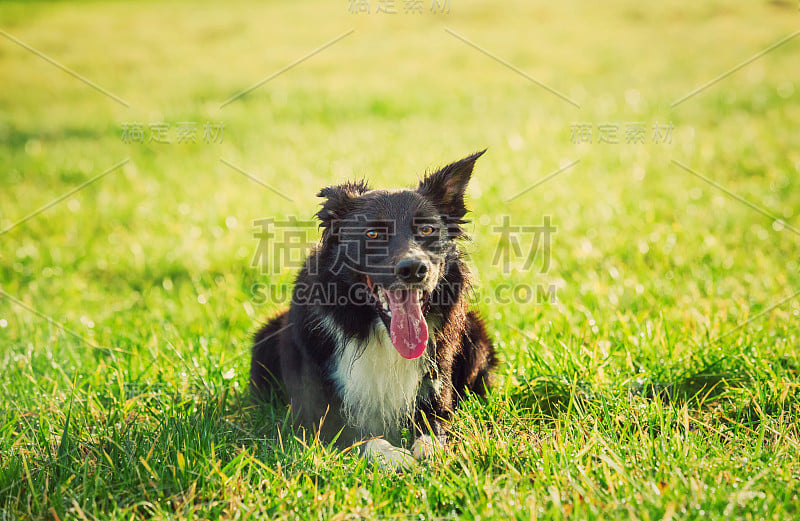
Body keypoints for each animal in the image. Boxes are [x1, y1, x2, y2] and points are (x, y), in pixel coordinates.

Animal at [253, 151, 496, 472]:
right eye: (372, 233)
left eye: (427, 230)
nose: (414, 269)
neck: (378, 333)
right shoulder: (312, 414)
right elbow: (356, 437)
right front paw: (392, 455)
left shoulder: (438, 391)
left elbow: (435, 427)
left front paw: (430, 450)